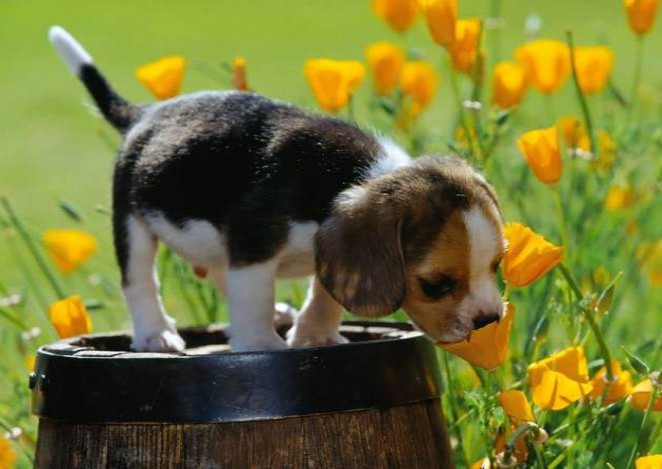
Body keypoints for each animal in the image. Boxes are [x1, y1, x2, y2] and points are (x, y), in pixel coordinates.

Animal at [50, 26, 508, 352]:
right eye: (435, 285)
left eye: (497, 265)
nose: (488, 321)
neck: (358, 175)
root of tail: (145, 114)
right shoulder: (254, 246)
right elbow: (253, 299)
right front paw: (261, 344)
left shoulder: (328, 252)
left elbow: (326, 293)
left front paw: (314, 334)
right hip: (132, 220)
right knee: (140, 280)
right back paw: (155, 335)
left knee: (218, 270)